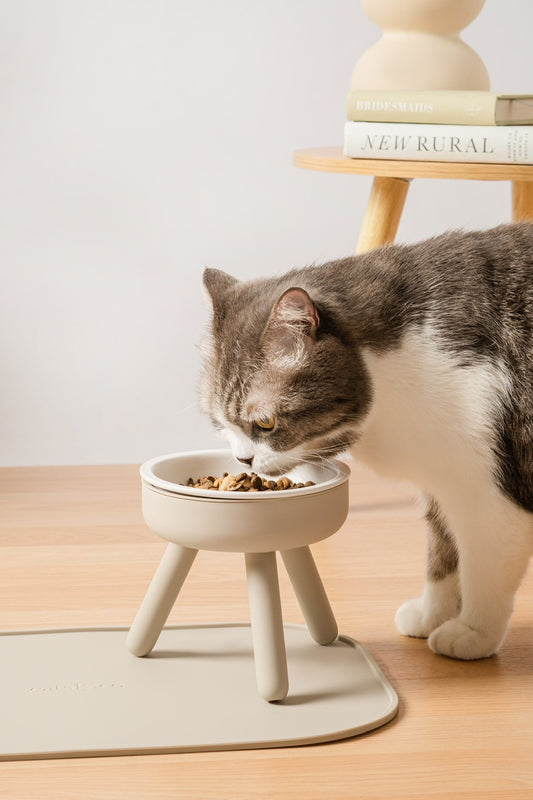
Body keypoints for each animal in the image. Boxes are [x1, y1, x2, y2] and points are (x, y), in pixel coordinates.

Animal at [200, 222, 532, 660]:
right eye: (220, 423)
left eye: (265, 423)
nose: (242, 461)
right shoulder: (442, 480)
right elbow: (443, 554)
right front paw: (431, 615)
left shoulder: (487, 495)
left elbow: (483, 569)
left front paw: (473, 632)